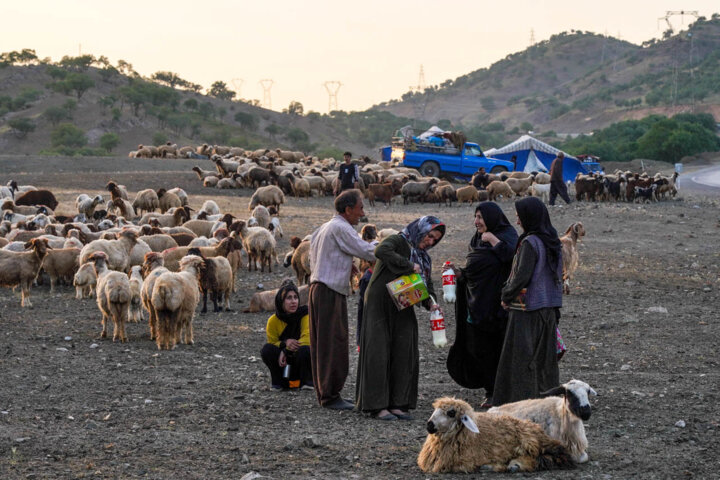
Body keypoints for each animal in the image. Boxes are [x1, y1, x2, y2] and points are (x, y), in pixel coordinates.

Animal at [416, 398, 572, 472]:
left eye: (451, 413)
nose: (429, 425)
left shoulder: (462, 463)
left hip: (529, 443)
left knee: (540, 458)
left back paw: (514, 465)